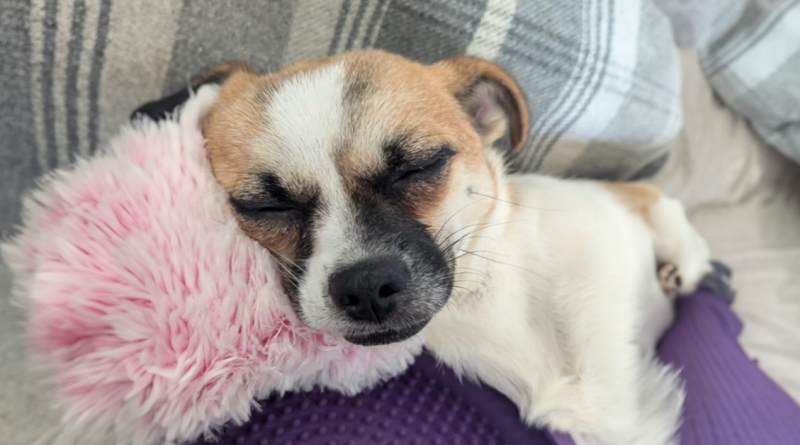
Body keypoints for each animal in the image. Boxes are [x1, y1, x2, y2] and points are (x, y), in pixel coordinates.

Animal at [138, 50, 712, 444]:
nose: (367, 287)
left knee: (660, 204)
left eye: (419, 166)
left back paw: (683, 266)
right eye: (266, 206)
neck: (488, 295)